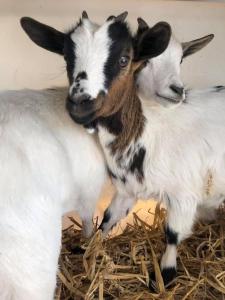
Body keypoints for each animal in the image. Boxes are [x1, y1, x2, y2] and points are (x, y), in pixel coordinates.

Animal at [20, 12, 216, 290]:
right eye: (67, 57)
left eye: (125, 59)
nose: (80, 103)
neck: (150, 131)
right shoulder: (128, 188)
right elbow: (107, 219)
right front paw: (88, 249)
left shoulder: (184, 194)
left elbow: (172, 234)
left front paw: (163, 278)